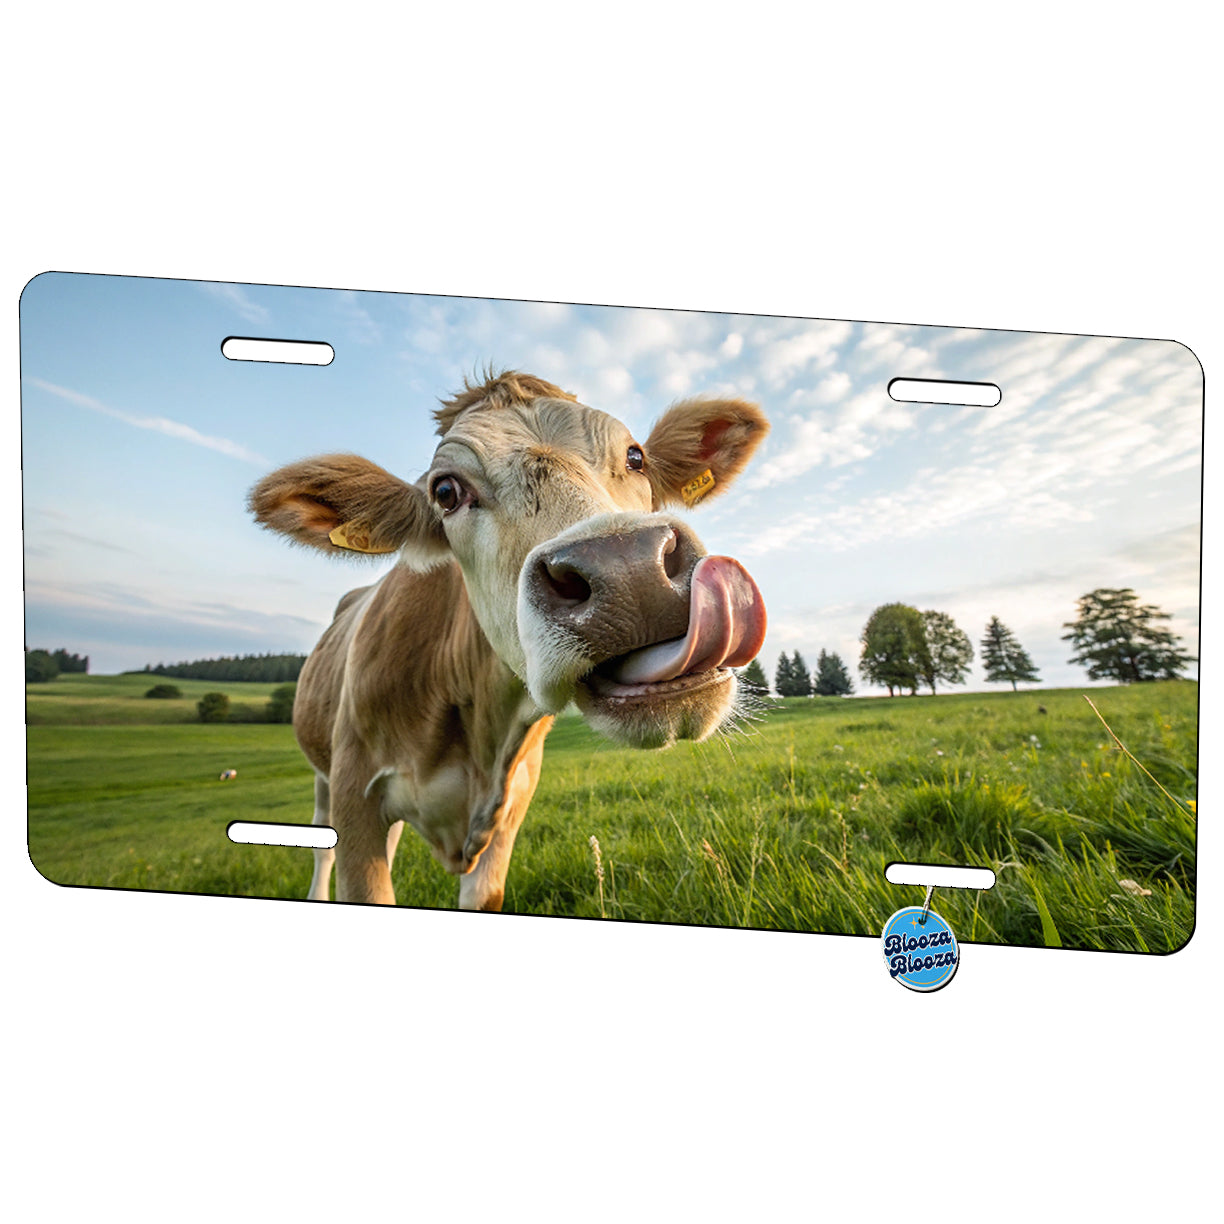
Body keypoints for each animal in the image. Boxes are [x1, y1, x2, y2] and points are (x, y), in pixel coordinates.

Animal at [248, 371, 768, 911]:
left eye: (635, 457)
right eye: (446, 491)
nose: (629, 570)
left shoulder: (512, 804)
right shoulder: (356, 792)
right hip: (323, 775)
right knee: (320, 846)